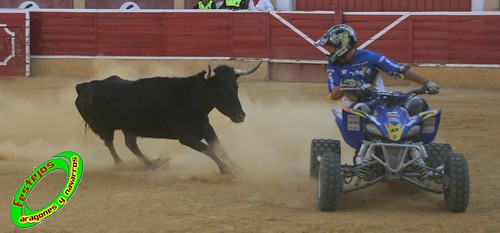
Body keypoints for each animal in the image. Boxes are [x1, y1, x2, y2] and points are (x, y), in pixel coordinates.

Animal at [75, 62, 262, 175]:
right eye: (222, 89)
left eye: (236, 87)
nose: (240, 116)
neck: (190, 99)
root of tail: (85, 86)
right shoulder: (186, 137)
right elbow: (208, 149)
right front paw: (226, 170)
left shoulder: (207, 129)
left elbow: (219, 148)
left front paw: (238, 167)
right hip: (104, 127)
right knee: (110, 143)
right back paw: (121, 164)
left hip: (129, 126)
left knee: (130, 144)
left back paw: (151, 165)